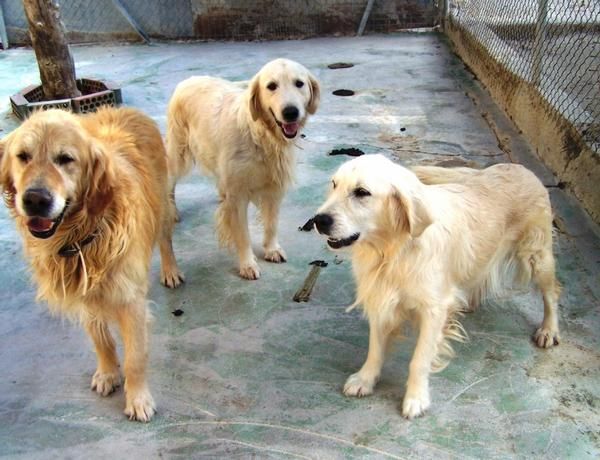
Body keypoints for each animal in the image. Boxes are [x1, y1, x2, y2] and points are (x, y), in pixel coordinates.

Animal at [0, 107, 184, 420]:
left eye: (66, 159)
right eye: (23, 156)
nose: (35, 199)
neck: (82, 236)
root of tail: (128, 110)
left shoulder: (130, 300)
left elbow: (135, 357)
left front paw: (138, 399)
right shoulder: (83, 293)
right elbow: (101, 340)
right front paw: (108, 373)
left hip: (161, 205)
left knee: (164, 238)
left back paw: (171, 271)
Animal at [166, 57, 322, 280]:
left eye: (299, 83)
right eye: (271, 86)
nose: (291, 112)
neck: (261, 135)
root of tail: (187, 80)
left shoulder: (274, 188)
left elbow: (272, 224)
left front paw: (272, 249)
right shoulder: (238, 195)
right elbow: (243, 234)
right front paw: (247, 264)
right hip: (178, 155)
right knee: (170, 181)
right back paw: (172, 210)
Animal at [312, 155, 560, 416]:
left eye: (362, 192)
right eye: (334, 184)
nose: (318, 220)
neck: (395, 249)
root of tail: (519, 167)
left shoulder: (433, 310)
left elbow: (419, 359)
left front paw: (416, 398)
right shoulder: (380, 297)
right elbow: (375, 348)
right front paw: (365, 379)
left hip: (537, 256)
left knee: (552, 293)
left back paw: (548, 330)